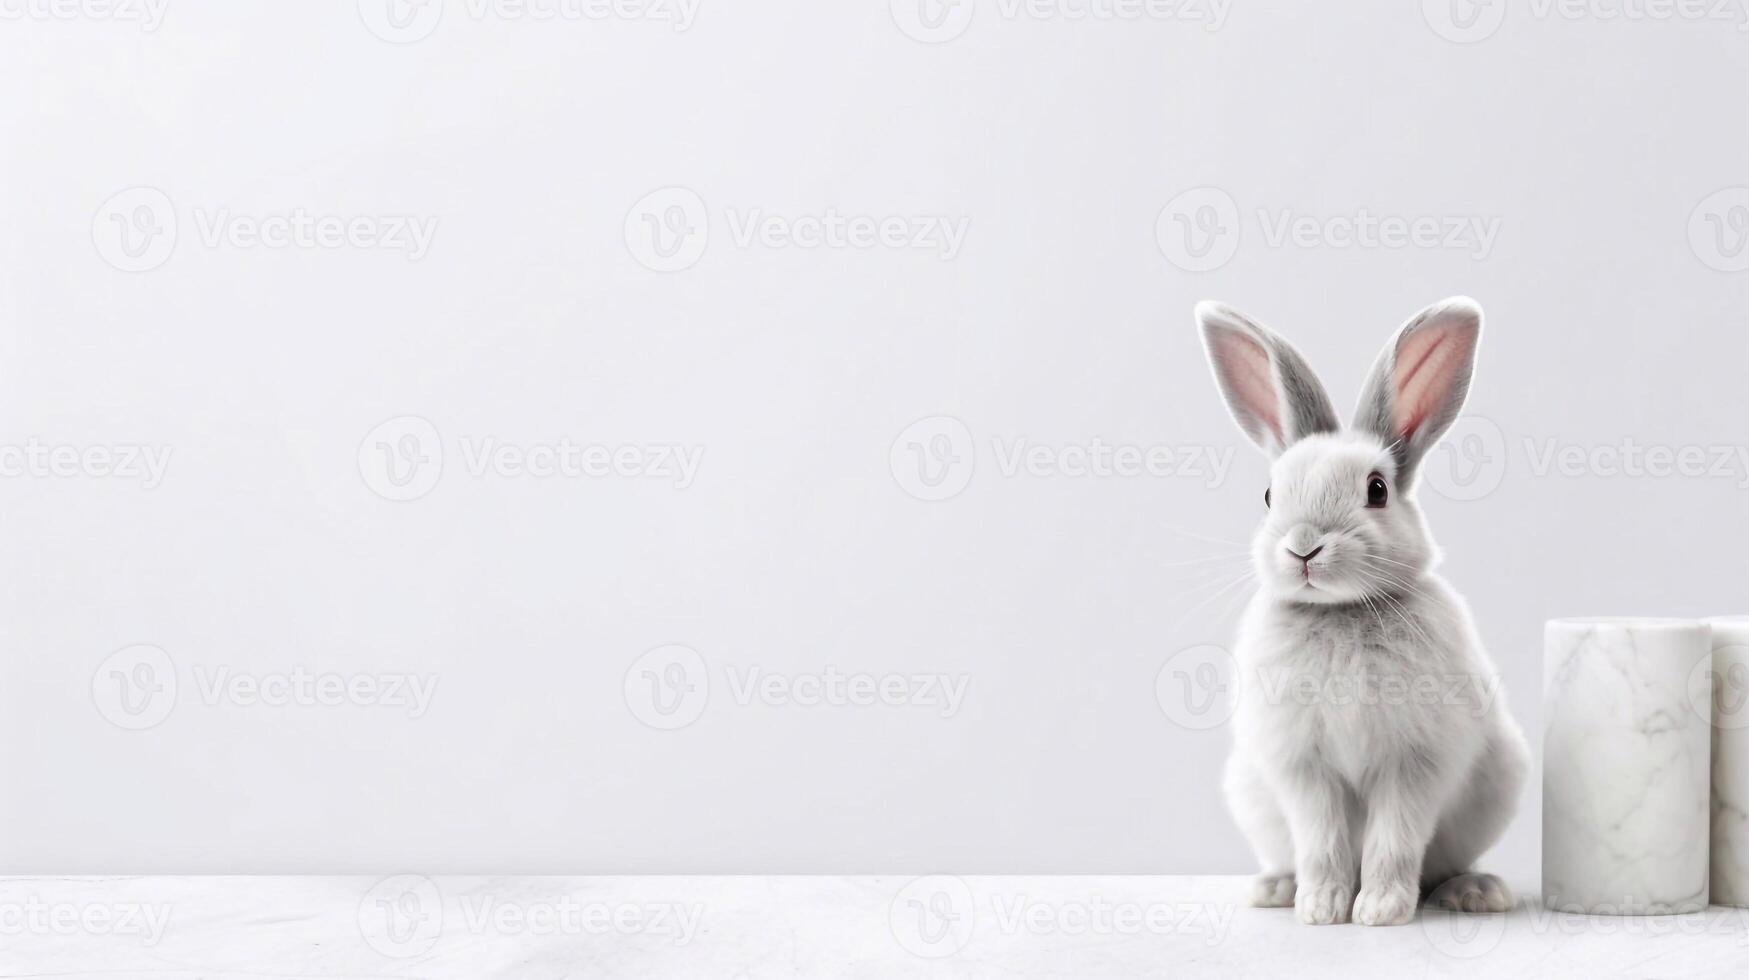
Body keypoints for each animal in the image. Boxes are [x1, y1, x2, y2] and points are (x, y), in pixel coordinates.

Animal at [1196, 299, 1525, 924]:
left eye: (1377, 490)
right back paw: (1276, 889)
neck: (1341, 611)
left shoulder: (1412, 765)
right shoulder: (1305, 769)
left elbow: (1394, 841)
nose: (1304, 546)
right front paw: (1323, 908)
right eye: (1270, 496)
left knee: (1442, 865)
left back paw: (1474, 892)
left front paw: (1378, 910)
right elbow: (1321, 842)